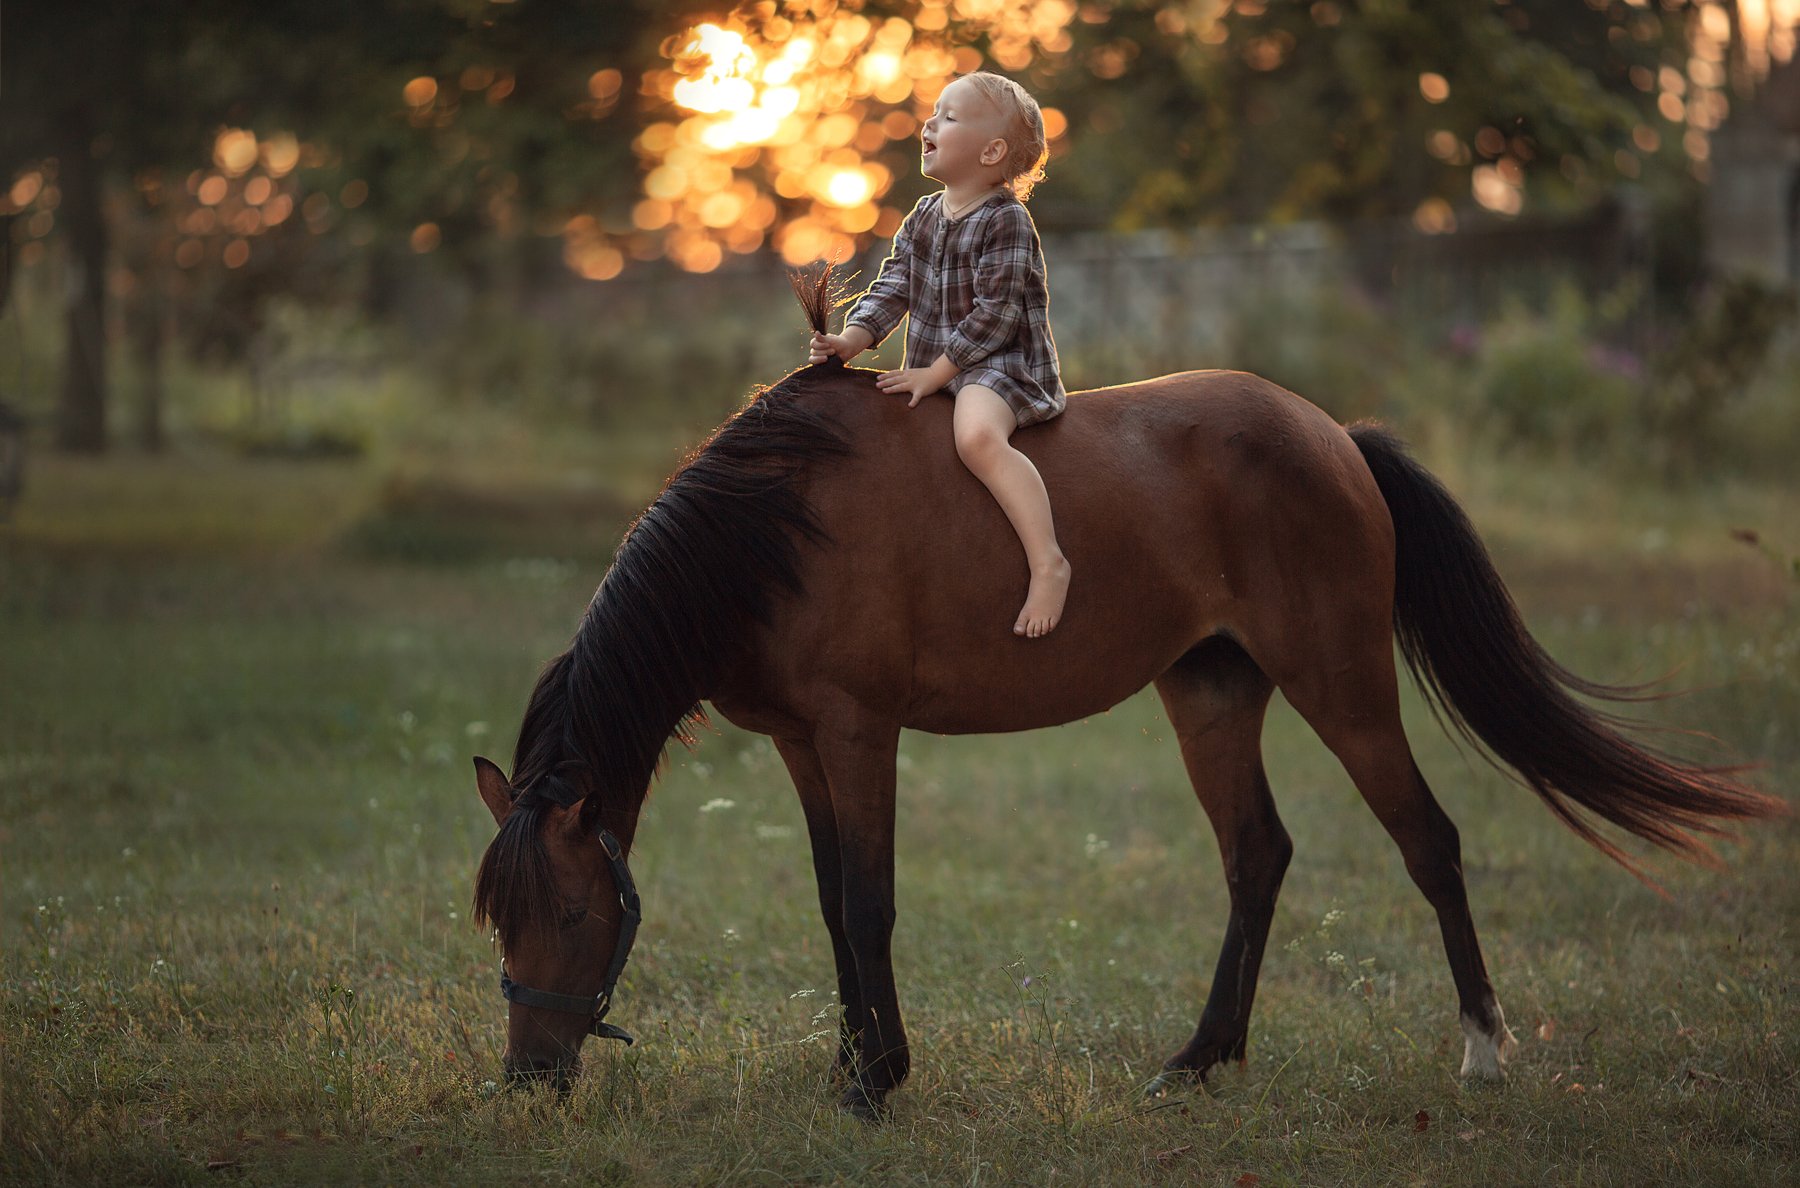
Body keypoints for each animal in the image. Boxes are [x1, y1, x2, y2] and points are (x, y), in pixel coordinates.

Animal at [464, 280, 1771, 1116]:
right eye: (499, 921)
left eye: (574, 913)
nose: (529, 1082)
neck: (773, 527)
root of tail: (1334, 437)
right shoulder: (799, 744)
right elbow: (834, 905)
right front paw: (848, 1065)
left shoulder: (857, 732)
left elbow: (871, 906)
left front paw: (878, 1082)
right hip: (1211, 696)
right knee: (1258, 855)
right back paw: (1201, 1060)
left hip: (1341, 685)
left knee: (1429, 842)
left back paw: (1483, 1055)